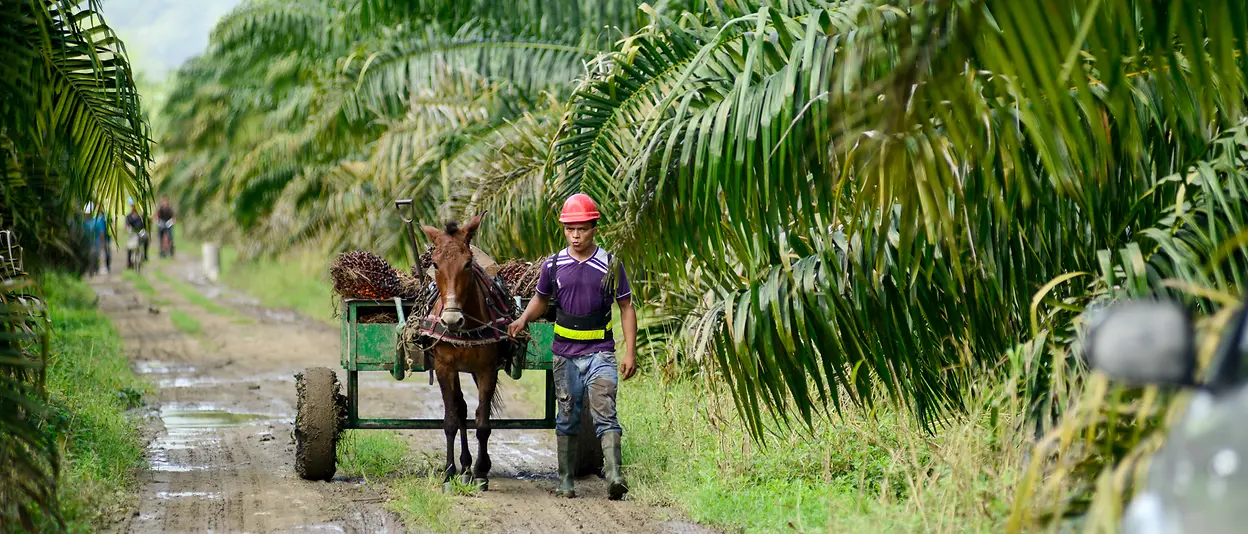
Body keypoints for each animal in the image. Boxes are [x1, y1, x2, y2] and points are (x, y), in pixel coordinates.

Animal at [418, 213, 511, 490]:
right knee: (460, 409)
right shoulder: (444, 367)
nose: (451, 320)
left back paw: (473, 467)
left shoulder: (487, 370)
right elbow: (451, 419)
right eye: (435, 264)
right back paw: (464, 466)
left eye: (468, 263)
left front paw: (481, 472)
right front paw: (450, 471)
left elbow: (483, 421)